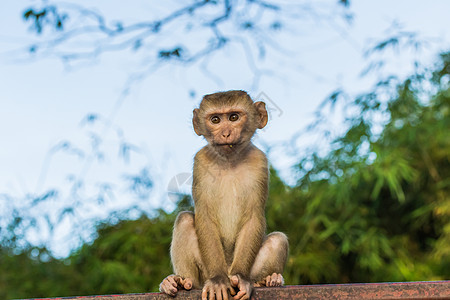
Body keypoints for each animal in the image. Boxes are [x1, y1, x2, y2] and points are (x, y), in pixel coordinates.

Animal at [160, 91, 290, 300]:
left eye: (234, 117)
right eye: (215, 120)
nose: (226, 133)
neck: (230, 161)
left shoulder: (260, 162)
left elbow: (253, 217)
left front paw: (242, 278)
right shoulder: (201, 162)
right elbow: (204, 215)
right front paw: (218, 280)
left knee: (277, 240)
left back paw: (268, 280)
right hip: (202, 274)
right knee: (185, 220)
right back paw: (180, 282)